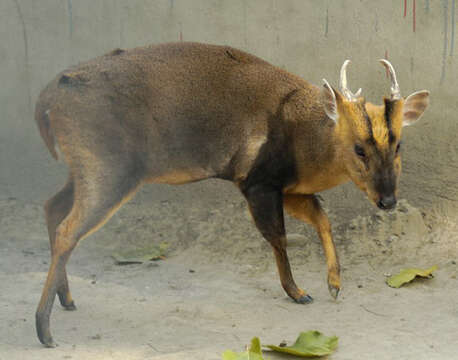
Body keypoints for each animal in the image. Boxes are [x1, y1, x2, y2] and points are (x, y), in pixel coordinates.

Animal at [35, 41, 430, 346]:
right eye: (359, 148)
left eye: (398, 144)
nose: (388, 201)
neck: (304, 138)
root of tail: (48, 96)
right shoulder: (257, 181)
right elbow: (279, 236)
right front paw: (298, 292)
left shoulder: (290, 188)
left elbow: (322, 220)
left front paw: (334, 285)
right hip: (108, 168)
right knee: (67, 229)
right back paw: (45, 330)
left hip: (85, 167)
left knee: (52, 207)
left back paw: (67, 300)